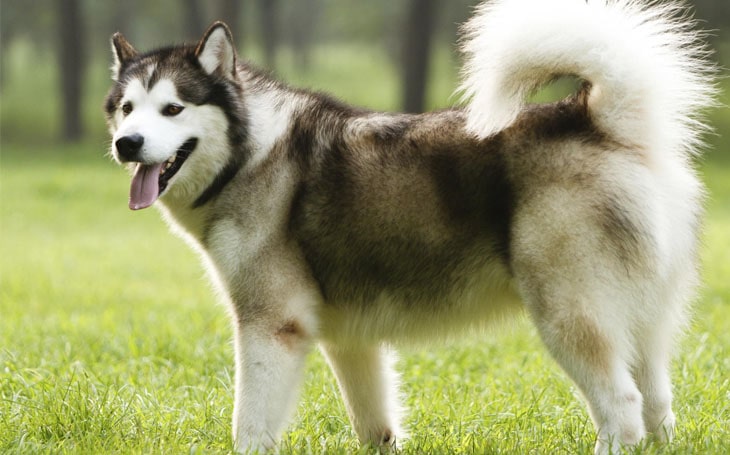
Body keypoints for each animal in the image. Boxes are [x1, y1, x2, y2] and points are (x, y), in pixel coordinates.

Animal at [105, 0, 712, 452]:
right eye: (127, 108)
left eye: (173, 109)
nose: (126, 144)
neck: (248, 151)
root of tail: (594, 115)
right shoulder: (350, 337)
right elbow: (375, 426)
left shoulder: (272, 325)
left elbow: (249, 425)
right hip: (645, 325)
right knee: (656, 408)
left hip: (568, 315)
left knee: (623, 409)